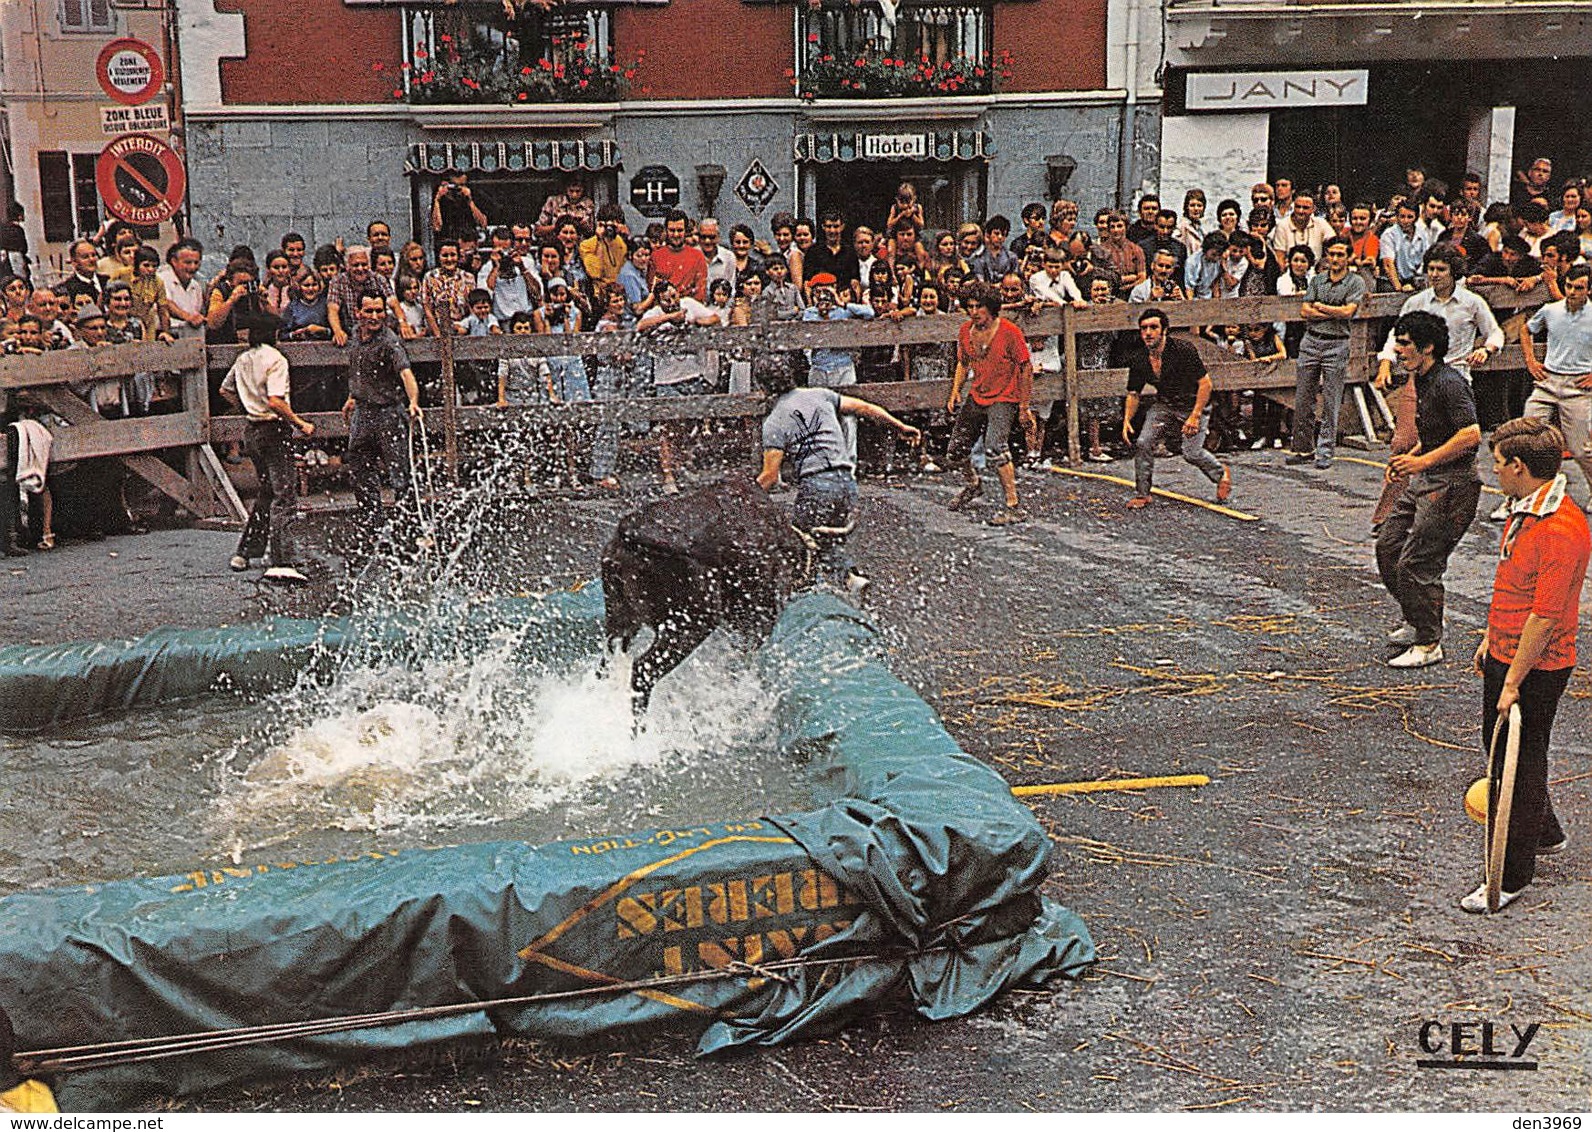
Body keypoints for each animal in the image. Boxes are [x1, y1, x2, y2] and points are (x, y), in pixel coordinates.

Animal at [601, 477, 815, 706]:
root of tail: (630, 532)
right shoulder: (757, 622)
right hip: (692, 624)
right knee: (642, 671)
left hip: (620, 620)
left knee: (607, 662)